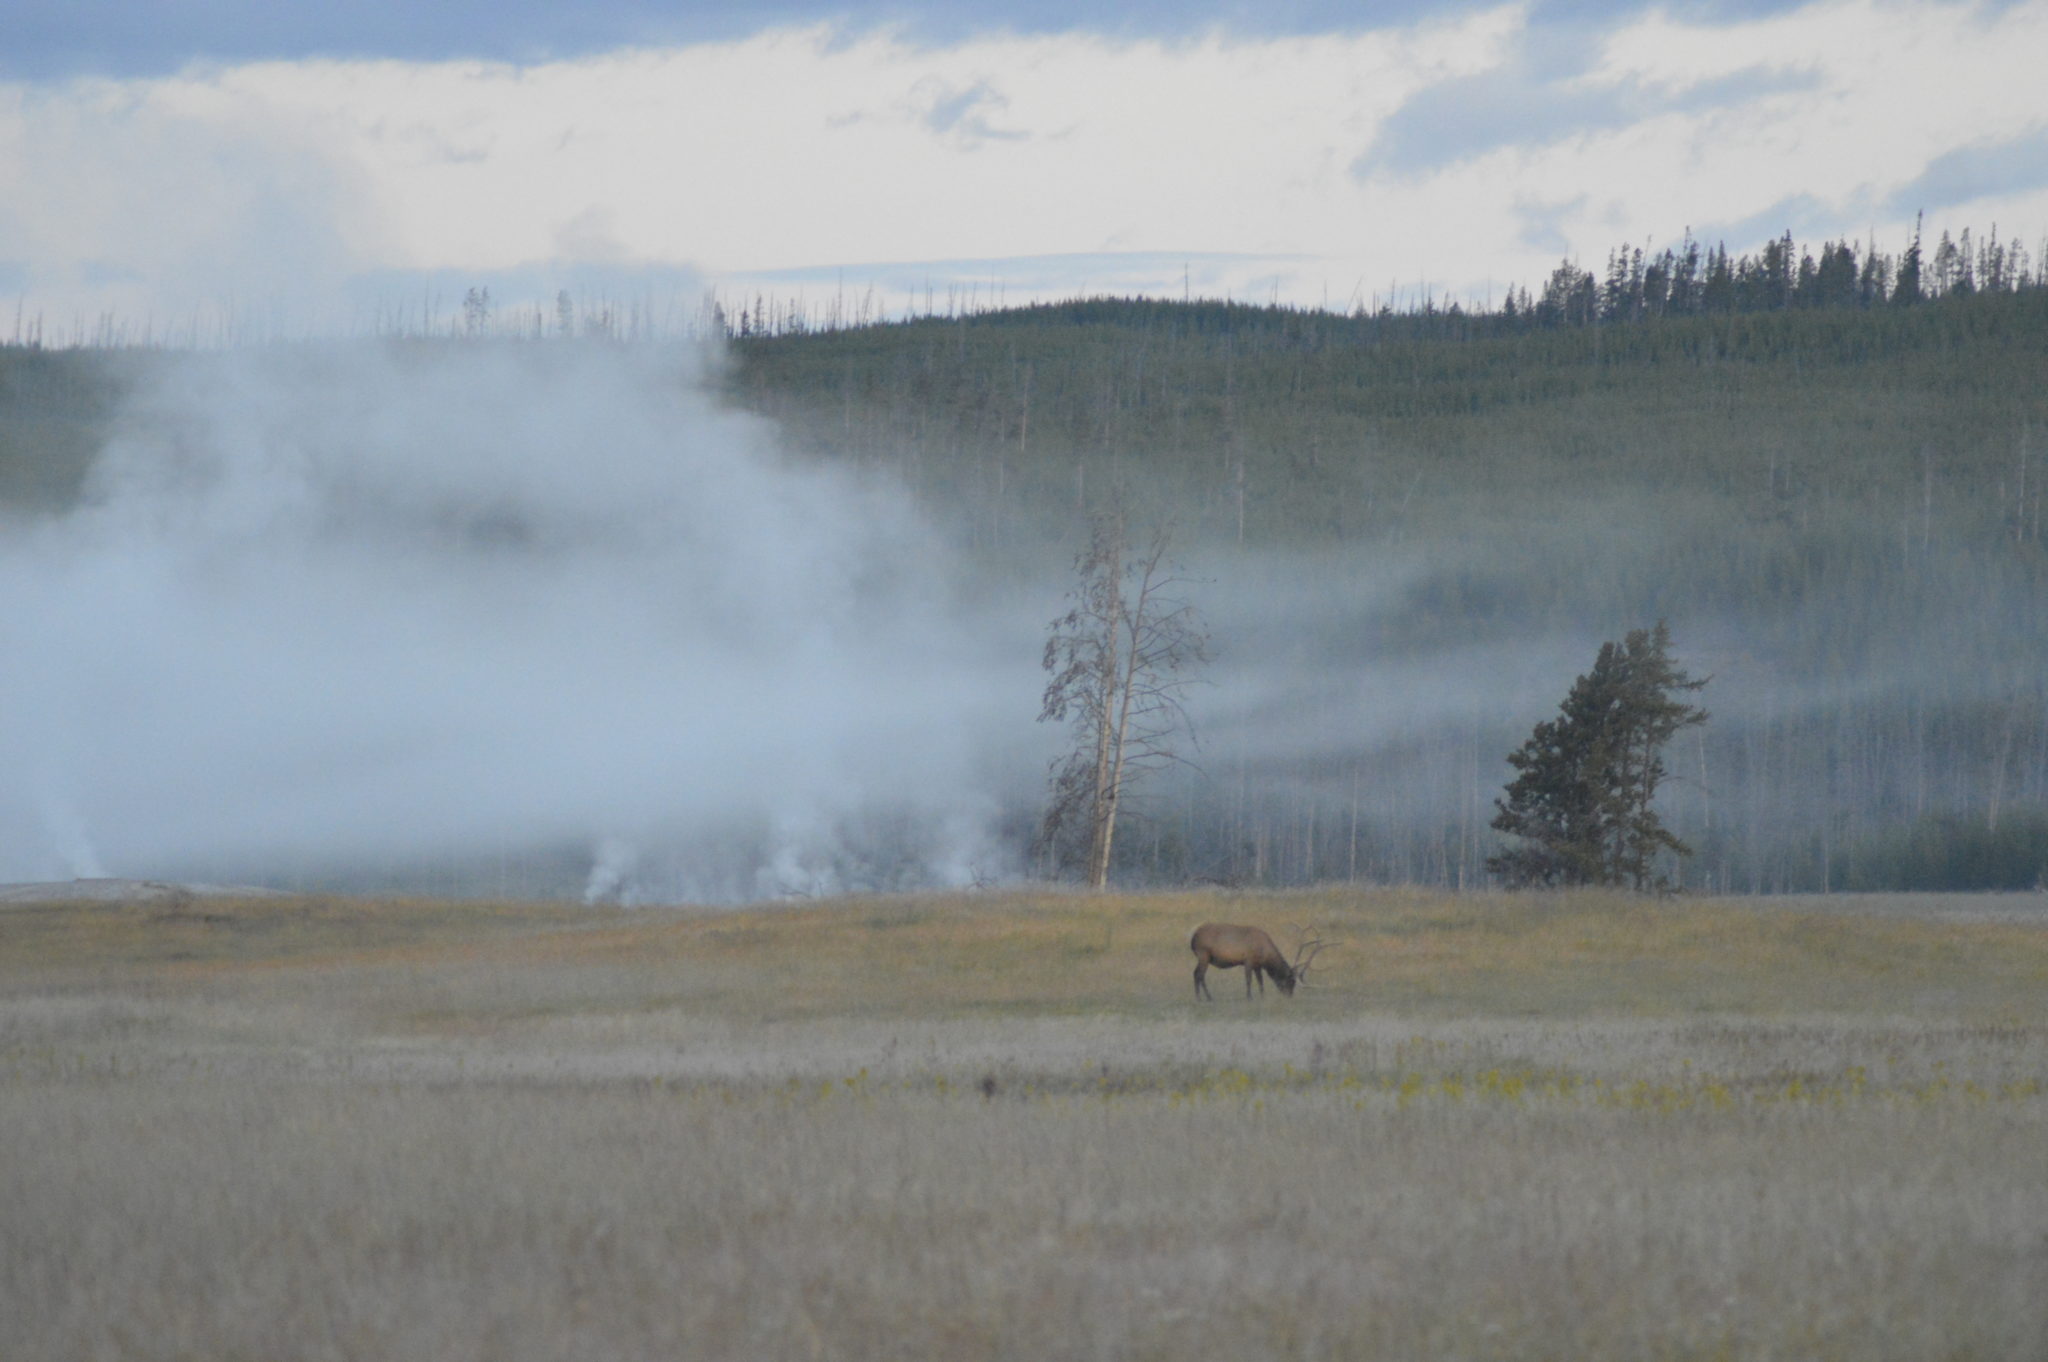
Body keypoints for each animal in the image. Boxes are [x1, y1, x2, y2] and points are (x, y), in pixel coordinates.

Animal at [1188, 922, 1329, 1001]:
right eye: (1290, 981)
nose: (1289, 996)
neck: (1265, 954)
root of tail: (1193, 938)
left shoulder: (1258, 965)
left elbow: (1260, 981)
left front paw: (1262, 996)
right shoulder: (1248, 960)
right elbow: (1249, 980)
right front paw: (1249, 997)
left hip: (1202, 957)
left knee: (1195, 973)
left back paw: (1199, 997)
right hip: (1204, 954)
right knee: (1200, 975)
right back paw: (1206, 997)